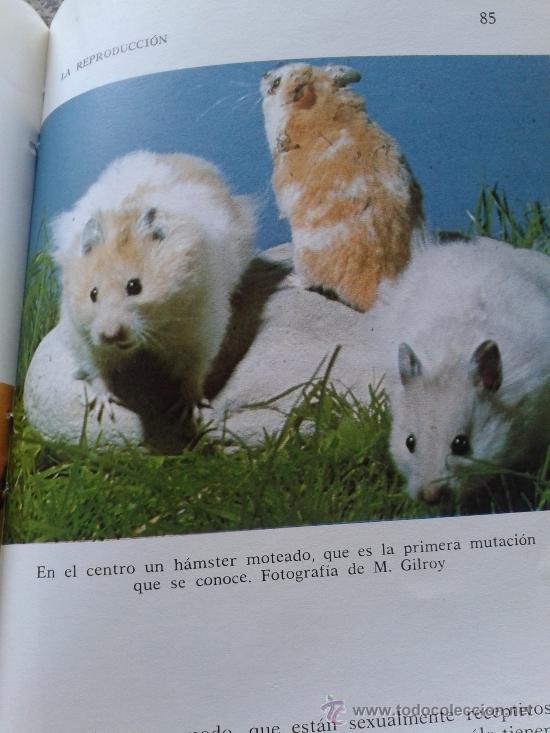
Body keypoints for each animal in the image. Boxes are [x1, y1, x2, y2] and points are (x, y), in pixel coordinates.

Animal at [53, 150, 255, 421]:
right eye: (92, 294)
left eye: (134, 286)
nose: (110, 335)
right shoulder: (85, 339)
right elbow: (99, 371)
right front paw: (103, 408)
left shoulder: (200, 329)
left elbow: (194, 371)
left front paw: (188, 410)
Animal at [261, 62, 423, 311]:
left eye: (276, 83)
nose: (263, 74)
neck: (323, 104)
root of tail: (370, 292)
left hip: (303, 253)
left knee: (310, 281)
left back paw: (291, 279)